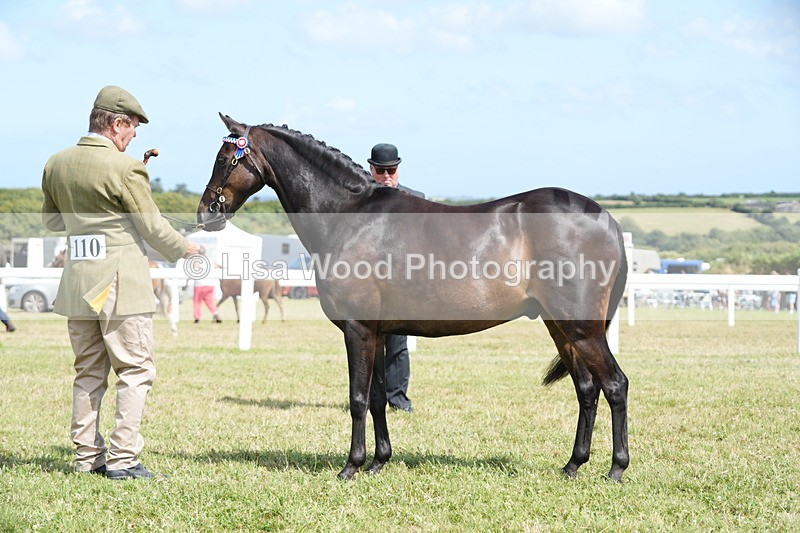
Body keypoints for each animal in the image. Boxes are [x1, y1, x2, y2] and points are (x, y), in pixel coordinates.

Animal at [197, 114, 630, 482]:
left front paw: (351, 466)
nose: (205, 213)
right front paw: (378, 461)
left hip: (582, 327)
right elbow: (375, 399)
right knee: (587, 389)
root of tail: (606, 219)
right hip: (561, 327)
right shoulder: (377, 332)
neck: (350, 216)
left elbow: (356, 398)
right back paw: (573, 465)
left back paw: (616, 468)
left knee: (614, 384)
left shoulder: (356, 329)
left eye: (223, 159)